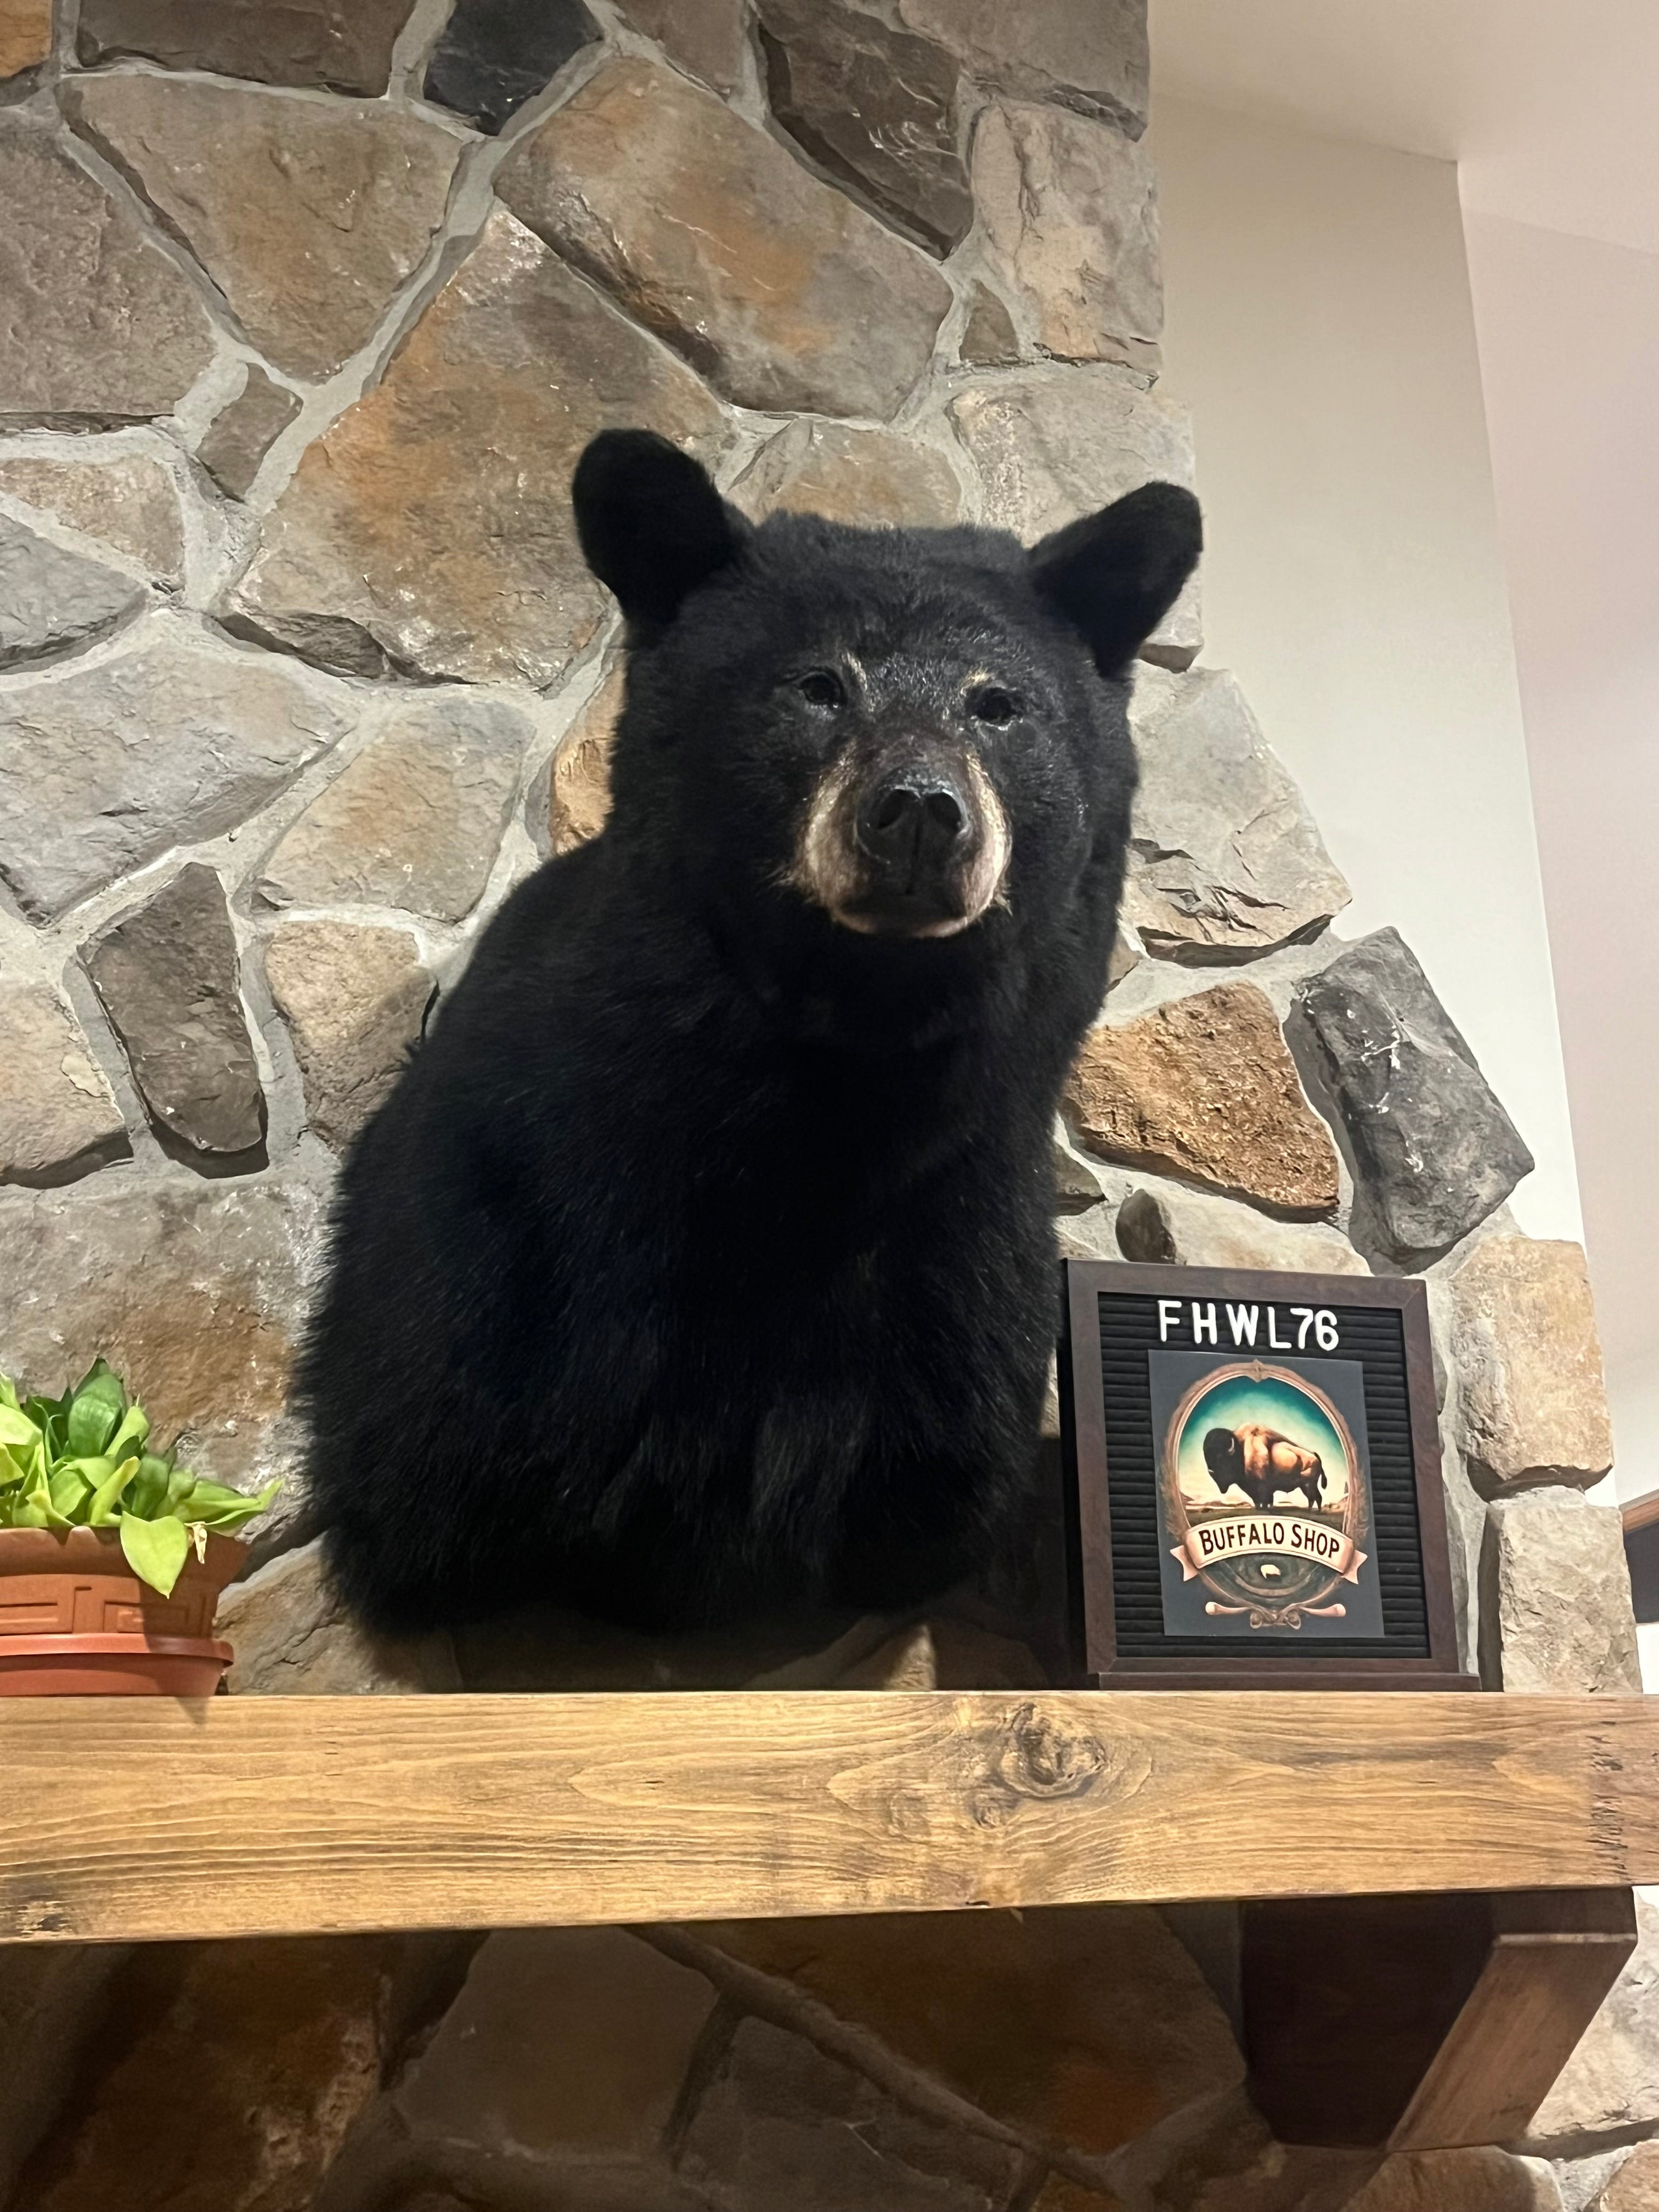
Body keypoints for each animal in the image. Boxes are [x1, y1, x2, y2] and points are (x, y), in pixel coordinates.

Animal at [298, 428, 1202, 1635]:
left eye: (998, 704)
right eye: (819, 686)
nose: (918, 812)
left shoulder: (960, 1259)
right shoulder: (507, 1226)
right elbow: (434, 1428)